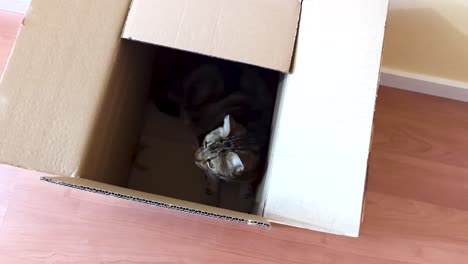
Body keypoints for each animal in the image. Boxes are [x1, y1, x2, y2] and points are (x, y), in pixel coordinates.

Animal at [128, 46, 280, 213]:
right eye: (206, 143)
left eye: (212, 164)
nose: (195, 158)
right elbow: (212, 182)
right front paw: (211, 200)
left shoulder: (254, 174)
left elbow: (246, 188)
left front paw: (244, 204)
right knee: (185, 107)